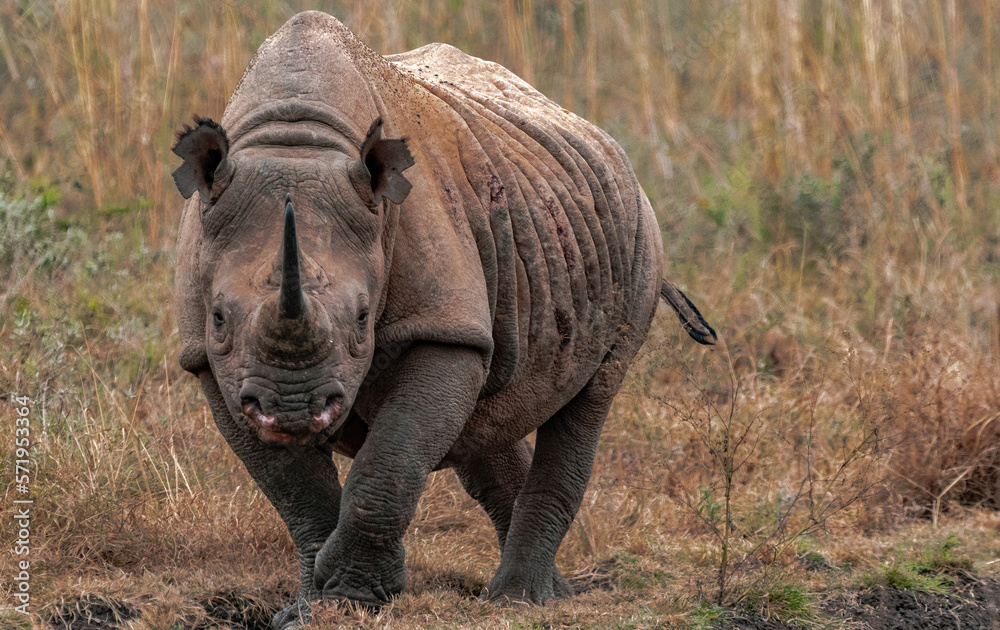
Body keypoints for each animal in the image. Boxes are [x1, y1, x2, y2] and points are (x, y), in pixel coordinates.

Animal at [171, 11, 715, 627]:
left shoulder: (442, 326)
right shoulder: (210, 363)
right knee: (487, 412)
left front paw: (354, 596)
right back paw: (548, 594)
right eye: (218, 317)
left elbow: (391, 460)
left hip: (641, 233)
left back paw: (520, 600)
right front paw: (312, 608)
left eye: (363, 318)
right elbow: (297, 494)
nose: (293, 408)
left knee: (590, 397)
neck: (297, 137)